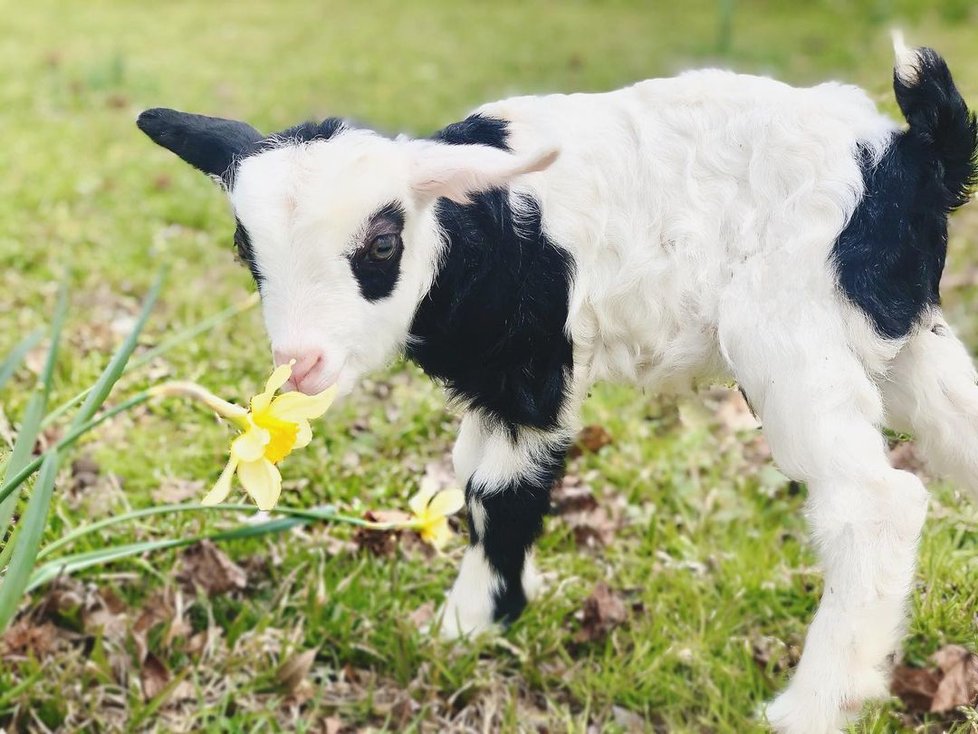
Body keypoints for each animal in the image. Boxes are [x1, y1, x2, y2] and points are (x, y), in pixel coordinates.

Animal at [137, 37, 976, 732]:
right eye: (247, 249)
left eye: (380, 243)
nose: (300, 360)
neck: (475, 236)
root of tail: (909, 156)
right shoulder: (497, 386)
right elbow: (478, 487)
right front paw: (489, 614)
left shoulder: (533, 375)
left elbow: (498, 493)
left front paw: (469, 625)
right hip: (898, 331)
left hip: (789, 332)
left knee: (876, 505)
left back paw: (813, 707)